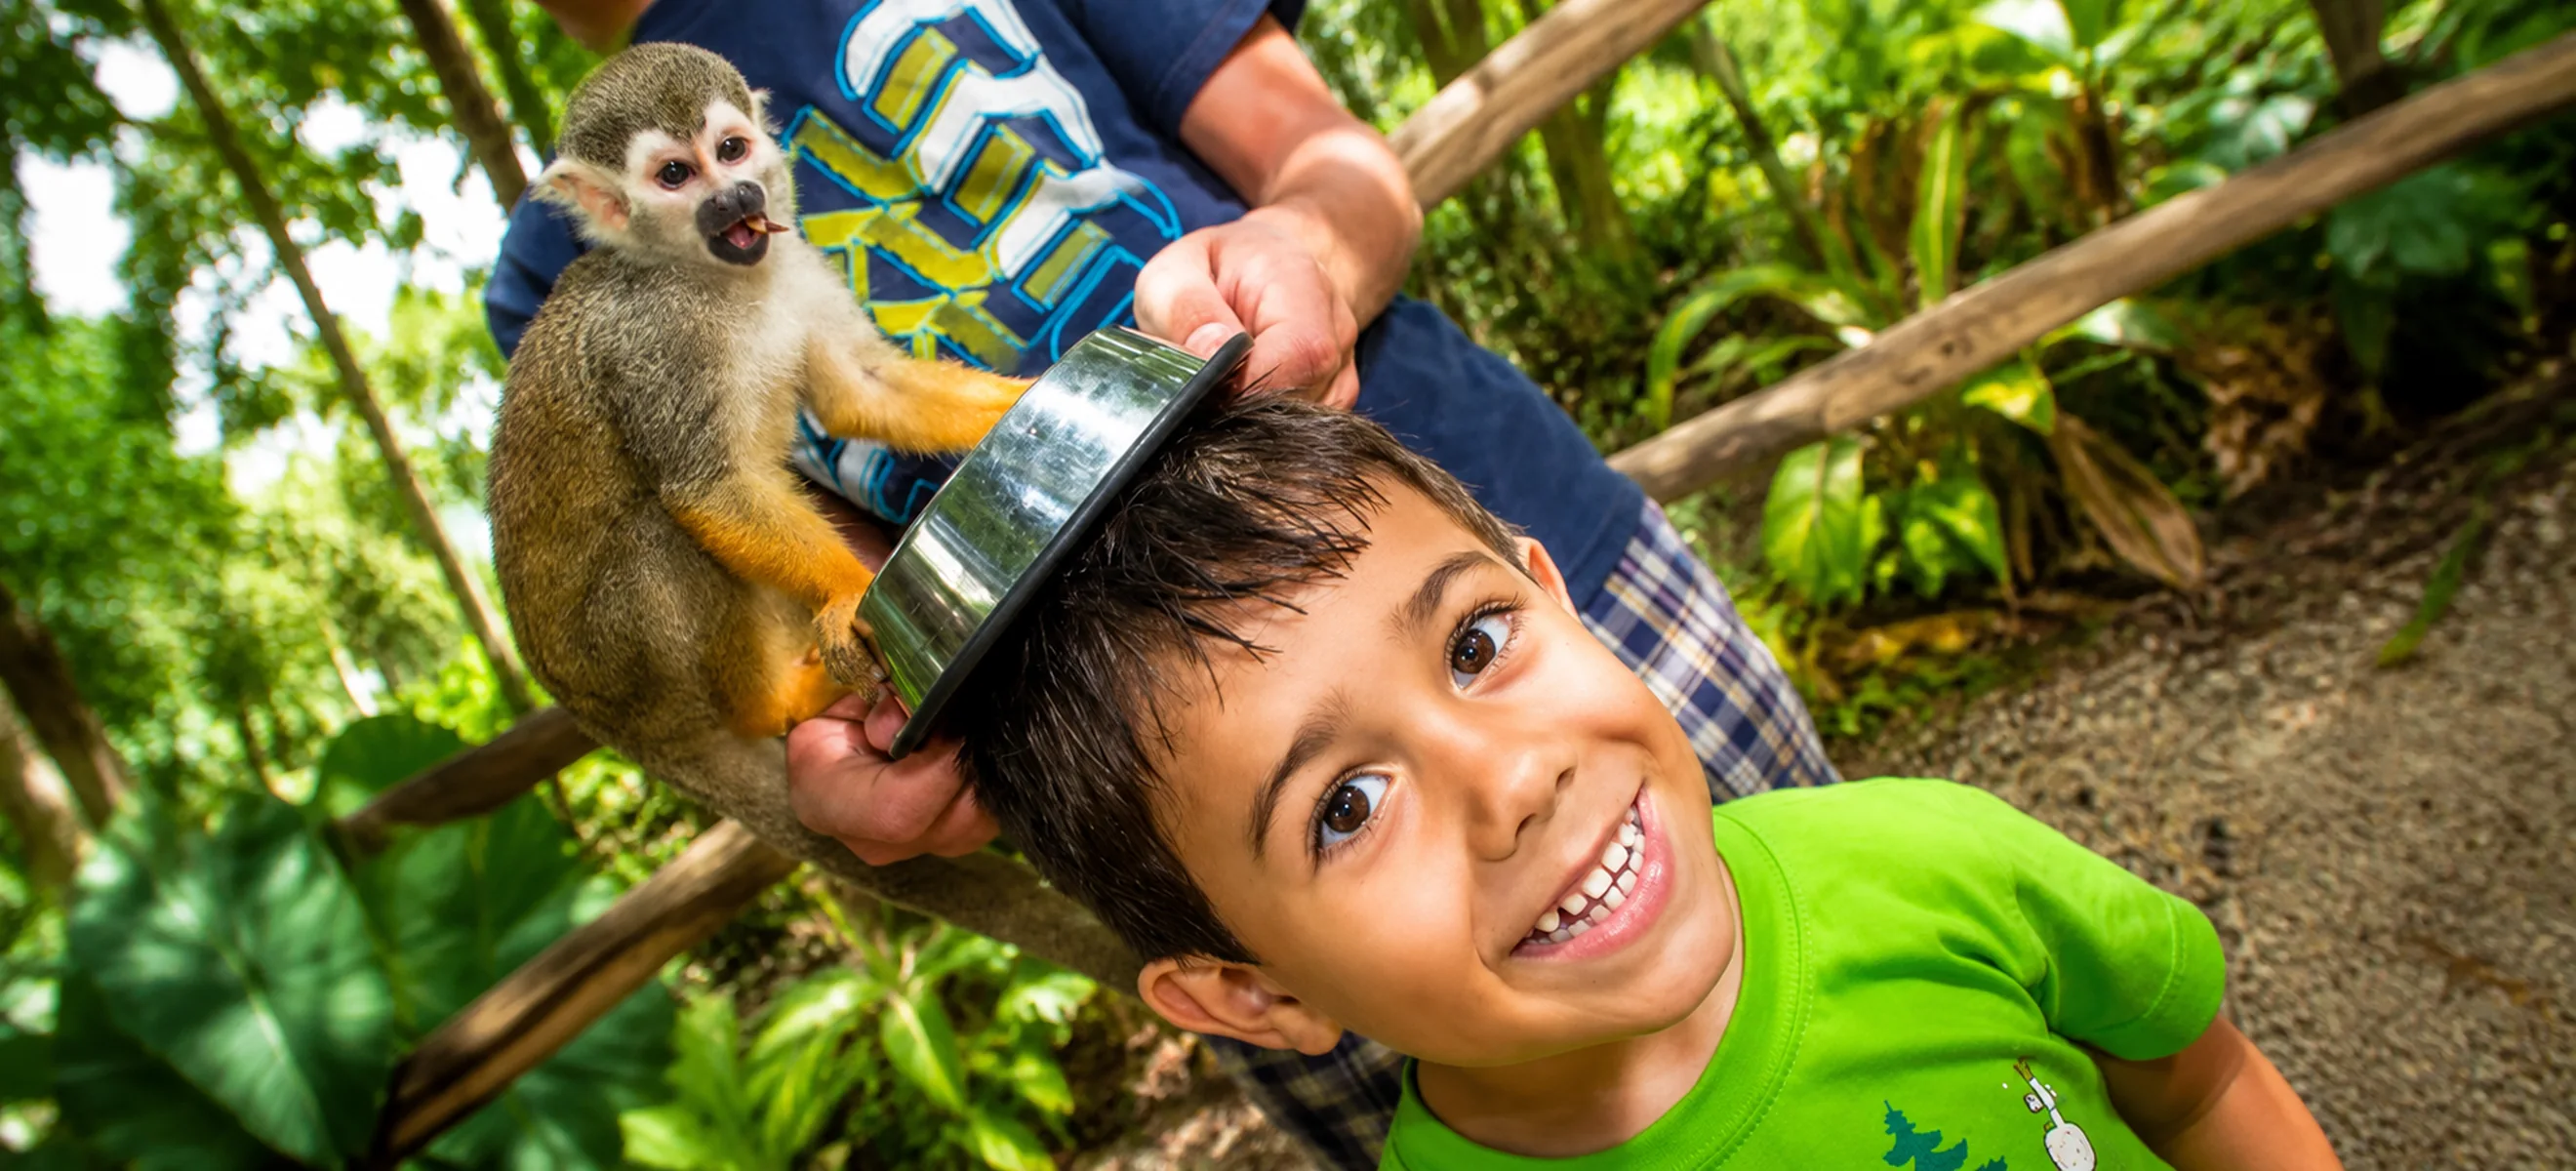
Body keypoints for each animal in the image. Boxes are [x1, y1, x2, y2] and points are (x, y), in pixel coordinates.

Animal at [485, 43, 1023, 828]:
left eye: (731, 150)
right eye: (675, 175)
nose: (736, 197)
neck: (715, 278)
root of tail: (606, 727)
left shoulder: (792, 260)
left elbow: (863, 390)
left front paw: (1034, 395)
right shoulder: (651, 341)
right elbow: (708, 489)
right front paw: (850, 596)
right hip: (641, 683)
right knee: (657, 537)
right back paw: (772, 706)